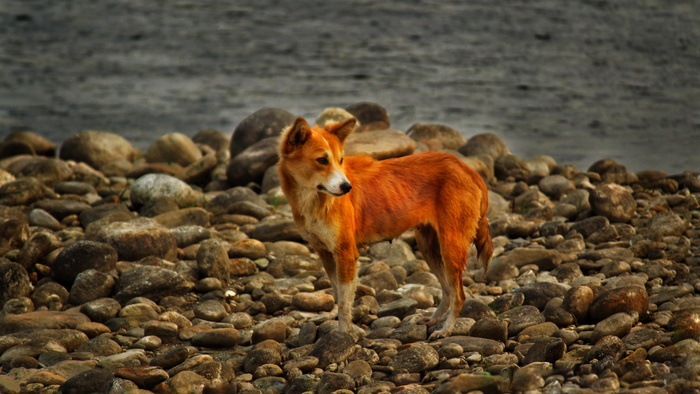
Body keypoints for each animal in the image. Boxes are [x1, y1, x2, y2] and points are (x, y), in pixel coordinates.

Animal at [278, 117, 492, 338]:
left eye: (341, 160)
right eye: (322, 160)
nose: (347, 187)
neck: (314, 200)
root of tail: (467, 169)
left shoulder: (345, 253)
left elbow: (344, 302)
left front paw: (344, 334)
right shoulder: (326, 254)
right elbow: (339, 296)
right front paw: (349, 330)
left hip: (451, 246)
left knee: (459, 295)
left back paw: (445, 330)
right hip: (429, 247)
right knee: (448, 291)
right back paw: (433, 320)